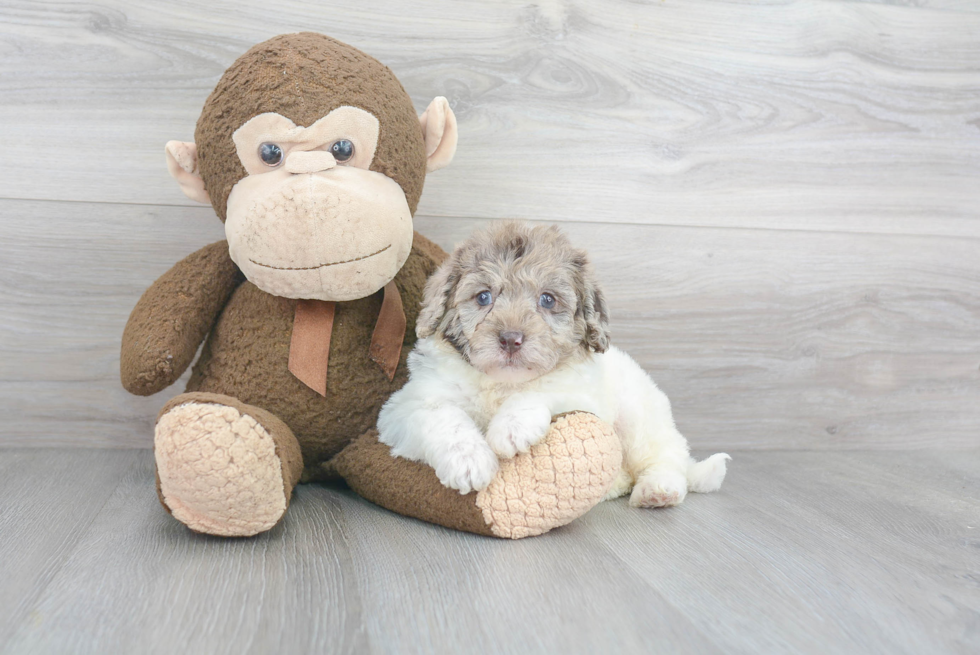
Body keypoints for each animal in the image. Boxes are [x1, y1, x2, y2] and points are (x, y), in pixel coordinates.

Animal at [376, 223, 728, 510]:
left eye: (547, 299)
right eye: (483, 297)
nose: (511, 339)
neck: (502, 383)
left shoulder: (584, 394)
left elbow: (545, 387)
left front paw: (510, 428)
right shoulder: (403, 407)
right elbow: (442, 416)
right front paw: (468, 460)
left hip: (640, 417)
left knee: (666, 457)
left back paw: (658, 489)